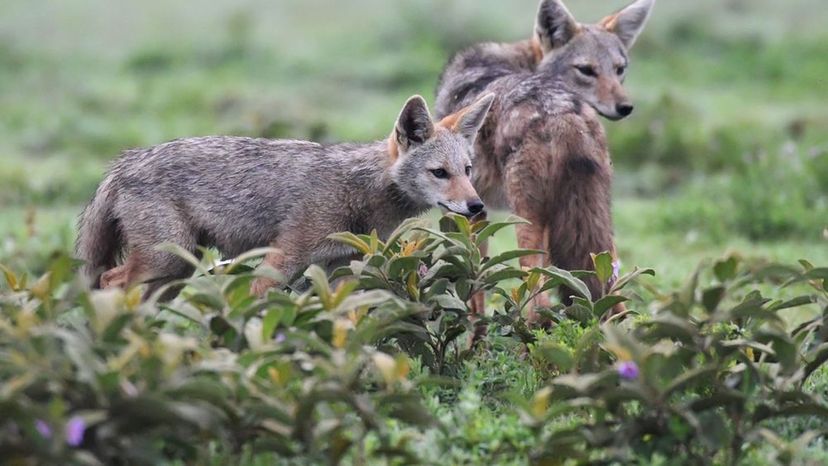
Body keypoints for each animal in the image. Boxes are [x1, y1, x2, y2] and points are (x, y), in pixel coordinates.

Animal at [76, 93, 492, 300]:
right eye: (440, 173)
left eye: (467, 171)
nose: (477, 207)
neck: (360, 189)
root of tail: (126, 160)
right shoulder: (282, 259)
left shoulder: (339, 270)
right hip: (166, 260)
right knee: (109, 281)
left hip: (175, 272)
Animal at [436, 0, 656, 320]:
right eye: (587, 70)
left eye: (619, 70)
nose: (625, 107)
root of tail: (562, 111)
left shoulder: (469, 212)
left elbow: (474, 286)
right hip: (596, 223)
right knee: (610, 288)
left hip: (527, 222)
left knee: (535, 293)